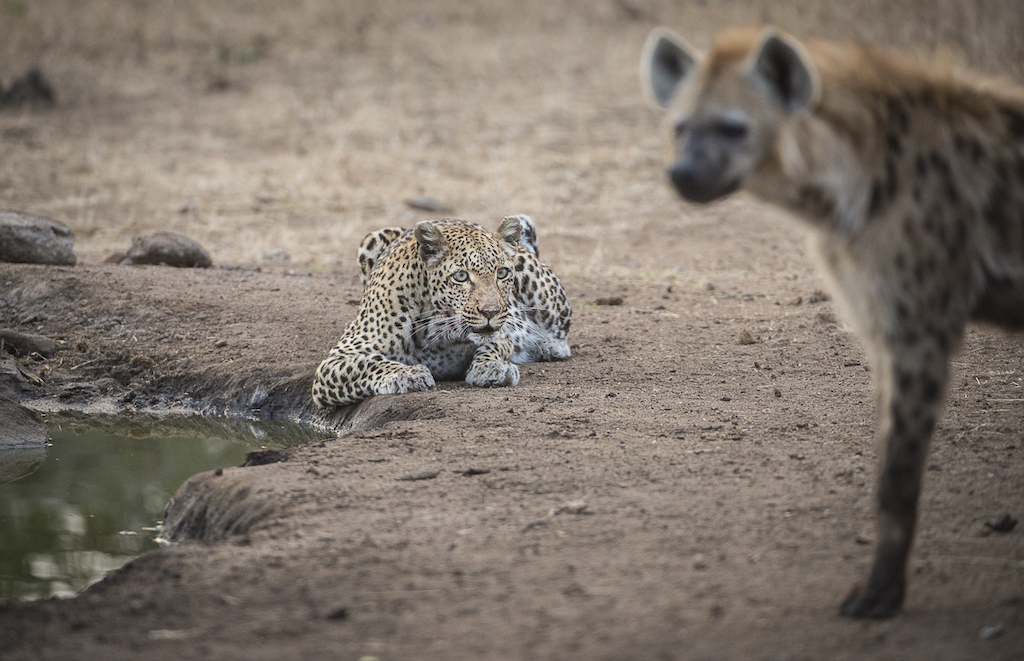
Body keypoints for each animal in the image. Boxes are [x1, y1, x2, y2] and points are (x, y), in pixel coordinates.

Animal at [307, 214, 573, 409]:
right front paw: (409, 374)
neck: (438, 325)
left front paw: (492, 368)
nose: (490, 311)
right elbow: (368, 364)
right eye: (461, 276)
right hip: (370, 239)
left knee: (562, 328)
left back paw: (548, 346)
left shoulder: (502, 334)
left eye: (502, 273)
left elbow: (493, 346)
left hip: (542, 292)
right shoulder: (335, 361)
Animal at [643, 24, 1024, 618]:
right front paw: (879, 589)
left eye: (734, 126)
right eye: (680, 126)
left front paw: (877, 597)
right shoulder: (885, 324)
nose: (681, 173)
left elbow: (898, 475)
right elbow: (888, 464)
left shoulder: (920, 326)